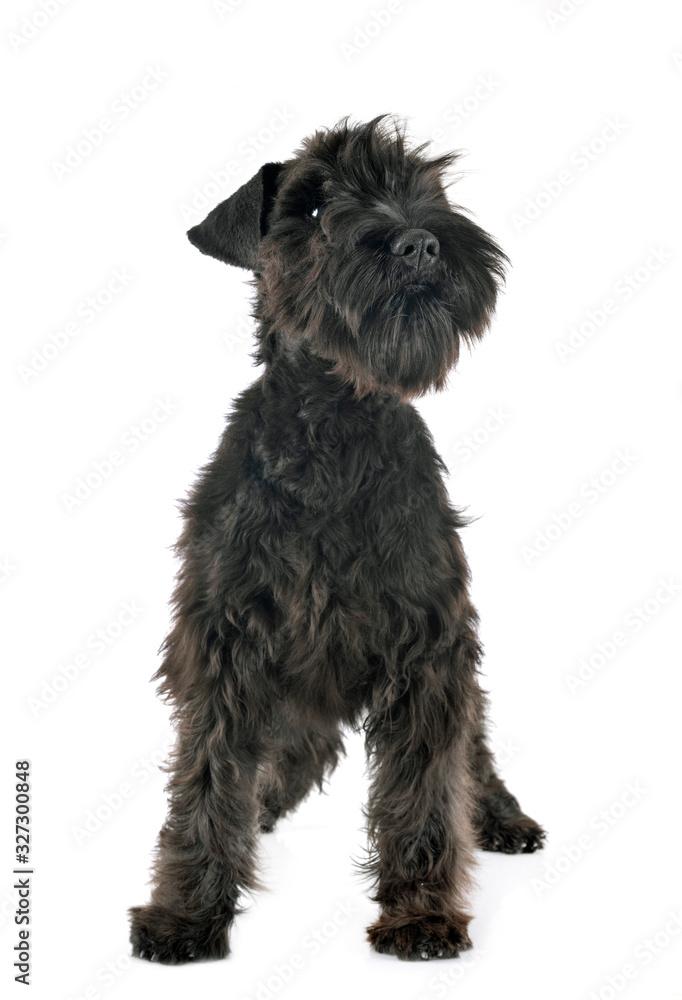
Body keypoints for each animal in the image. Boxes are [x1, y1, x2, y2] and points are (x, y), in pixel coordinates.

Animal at [129, 113, 540, 964]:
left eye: (425, 186)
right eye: (314, 208)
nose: (418, 243)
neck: (337, 426)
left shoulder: (429, 645)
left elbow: (427, 784)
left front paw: (421, 915)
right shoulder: (222, 642)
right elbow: (205, 778)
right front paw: (186, 913)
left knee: (473, 749)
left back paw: (502, 815)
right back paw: (264, 805)